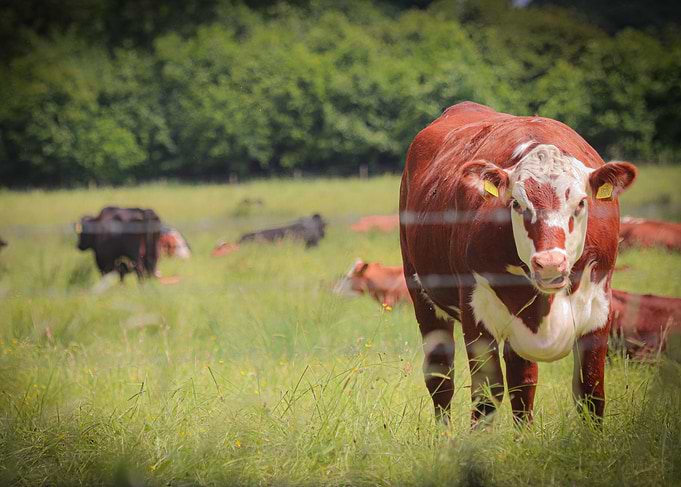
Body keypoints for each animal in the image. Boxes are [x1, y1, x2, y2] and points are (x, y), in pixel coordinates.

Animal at [400, 101, 637, 426]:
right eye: (516, 203)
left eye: (581, 203)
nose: (549, 263)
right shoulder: (476, 312)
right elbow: (486, 392)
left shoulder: (598, 306)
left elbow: (590, 391)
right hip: (422, 296)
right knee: (440, 378)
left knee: (522, 381)